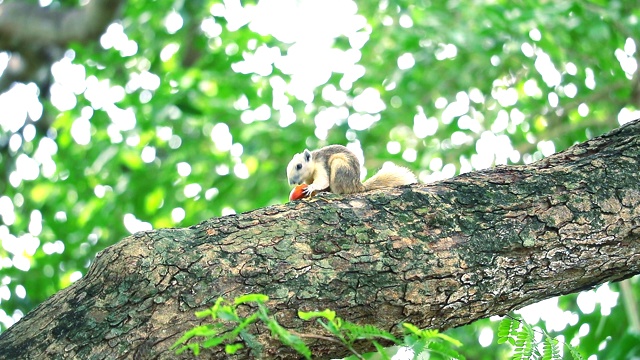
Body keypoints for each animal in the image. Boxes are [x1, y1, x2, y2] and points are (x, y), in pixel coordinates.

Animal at [286, 144, 418, 197]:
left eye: (299, 166)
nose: (291, 182)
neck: (313, 162)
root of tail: (356, 185)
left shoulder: (321, 166)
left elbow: (323, 181)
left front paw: (311, 188)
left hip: (339, 165)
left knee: (339, 191)